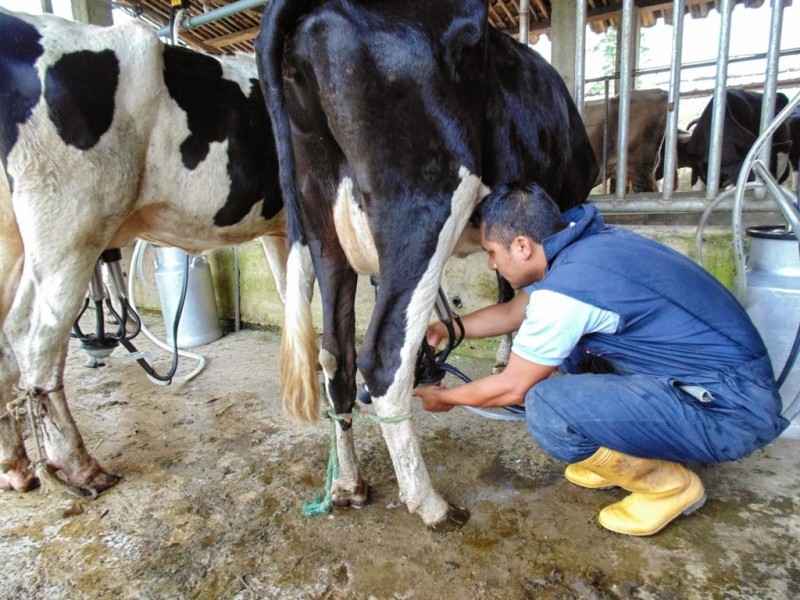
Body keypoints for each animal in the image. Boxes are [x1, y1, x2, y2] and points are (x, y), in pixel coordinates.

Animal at [256, 0, 600, 524]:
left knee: (336, 353)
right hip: (424, 202)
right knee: (382, 358)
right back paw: (430, 503)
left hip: (320, 222)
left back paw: (349, 484)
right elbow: (522, 288)